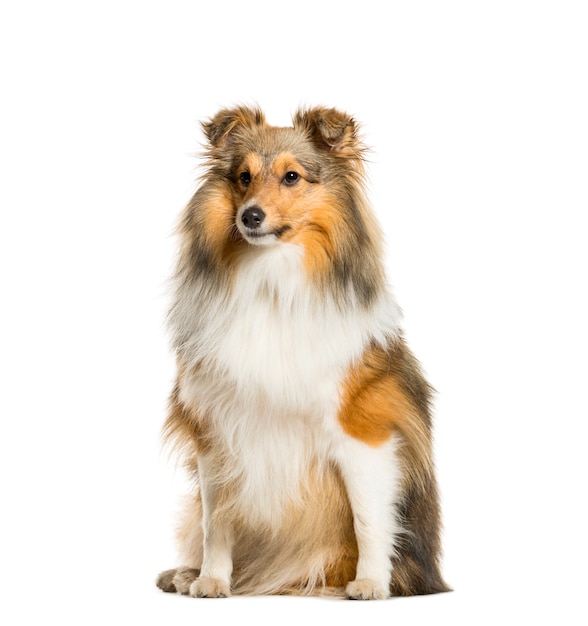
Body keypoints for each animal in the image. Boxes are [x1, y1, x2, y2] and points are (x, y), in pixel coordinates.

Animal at [156, 105, 450, 596]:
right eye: (243, 177)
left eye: (291, 176)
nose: (250, 217)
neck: (271, 280)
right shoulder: (217, 430)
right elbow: (217, 521)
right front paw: (213, 579)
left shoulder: (363, 433)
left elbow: (369, 518)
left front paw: (370, 583)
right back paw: (186, 574)